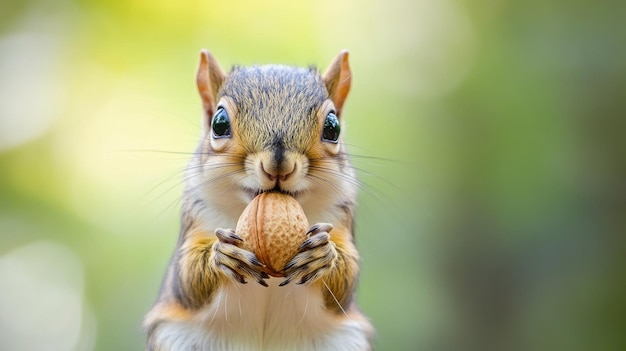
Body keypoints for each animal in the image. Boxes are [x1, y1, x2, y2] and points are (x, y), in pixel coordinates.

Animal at [143, 50, 372, 351]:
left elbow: (345, 283)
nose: (278, 166)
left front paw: (323, 255)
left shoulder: (341, 218)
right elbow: (187, 279)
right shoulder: (197, 217)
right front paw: (223, 254)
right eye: (219, 124)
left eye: (332, 128)